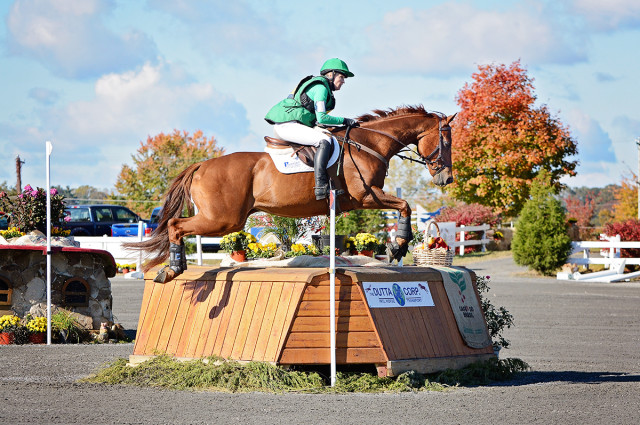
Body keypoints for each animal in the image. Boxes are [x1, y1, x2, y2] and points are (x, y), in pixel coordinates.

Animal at [127, 105, 452, 282]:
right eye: (446, 141)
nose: (446, 178)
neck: (370, 143)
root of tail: (201, 164)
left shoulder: (364, 198)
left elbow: (403, 206)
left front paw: (397, 247)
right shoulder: (366, 196)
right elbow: (405, 205)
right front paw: (397, 247)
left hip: (223, 219)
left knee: (176, 226)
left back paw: (174, 268)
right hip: (224, 219)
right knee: (175, 225)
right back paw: (172, 269)